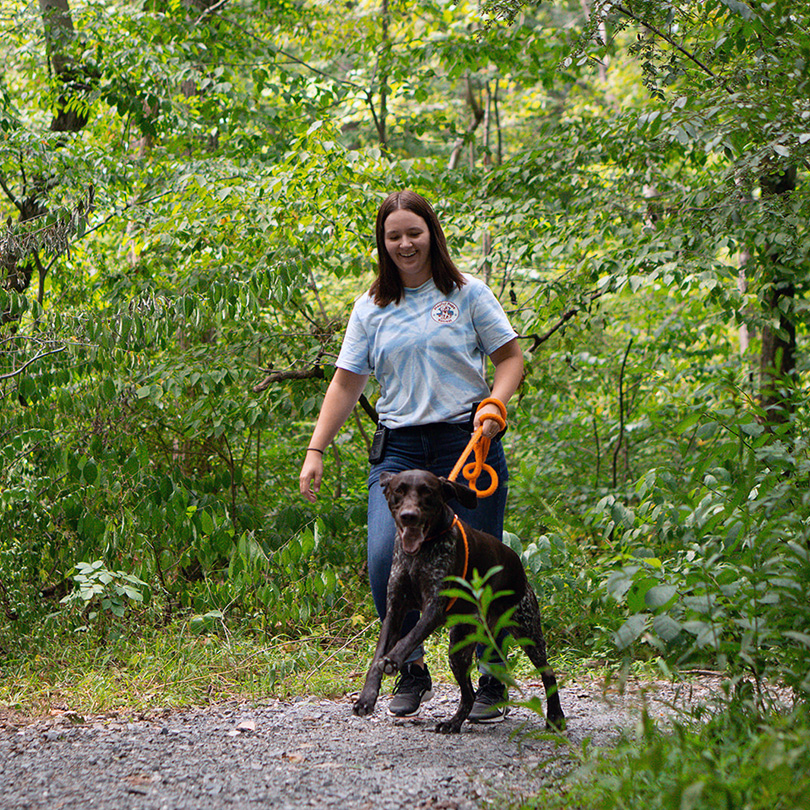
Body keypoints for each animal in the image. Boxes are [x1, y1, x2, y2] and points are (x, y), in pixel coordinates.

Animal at [350, 468, 564, 732]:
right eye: (399, 490)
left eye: (427, 492)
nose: (409, 516)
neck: (421, 552)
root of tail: (517, 562)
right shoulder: (394, 611)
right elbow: (377, 657)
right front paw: (367, 698)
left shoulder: (434, 609)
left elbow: (409, 638)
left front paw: (394, 658)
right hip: (459, 649)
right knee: (468, 695)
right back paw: (453, 723)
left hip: (527, 630)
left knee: (548, 673)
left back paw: (555, 716)